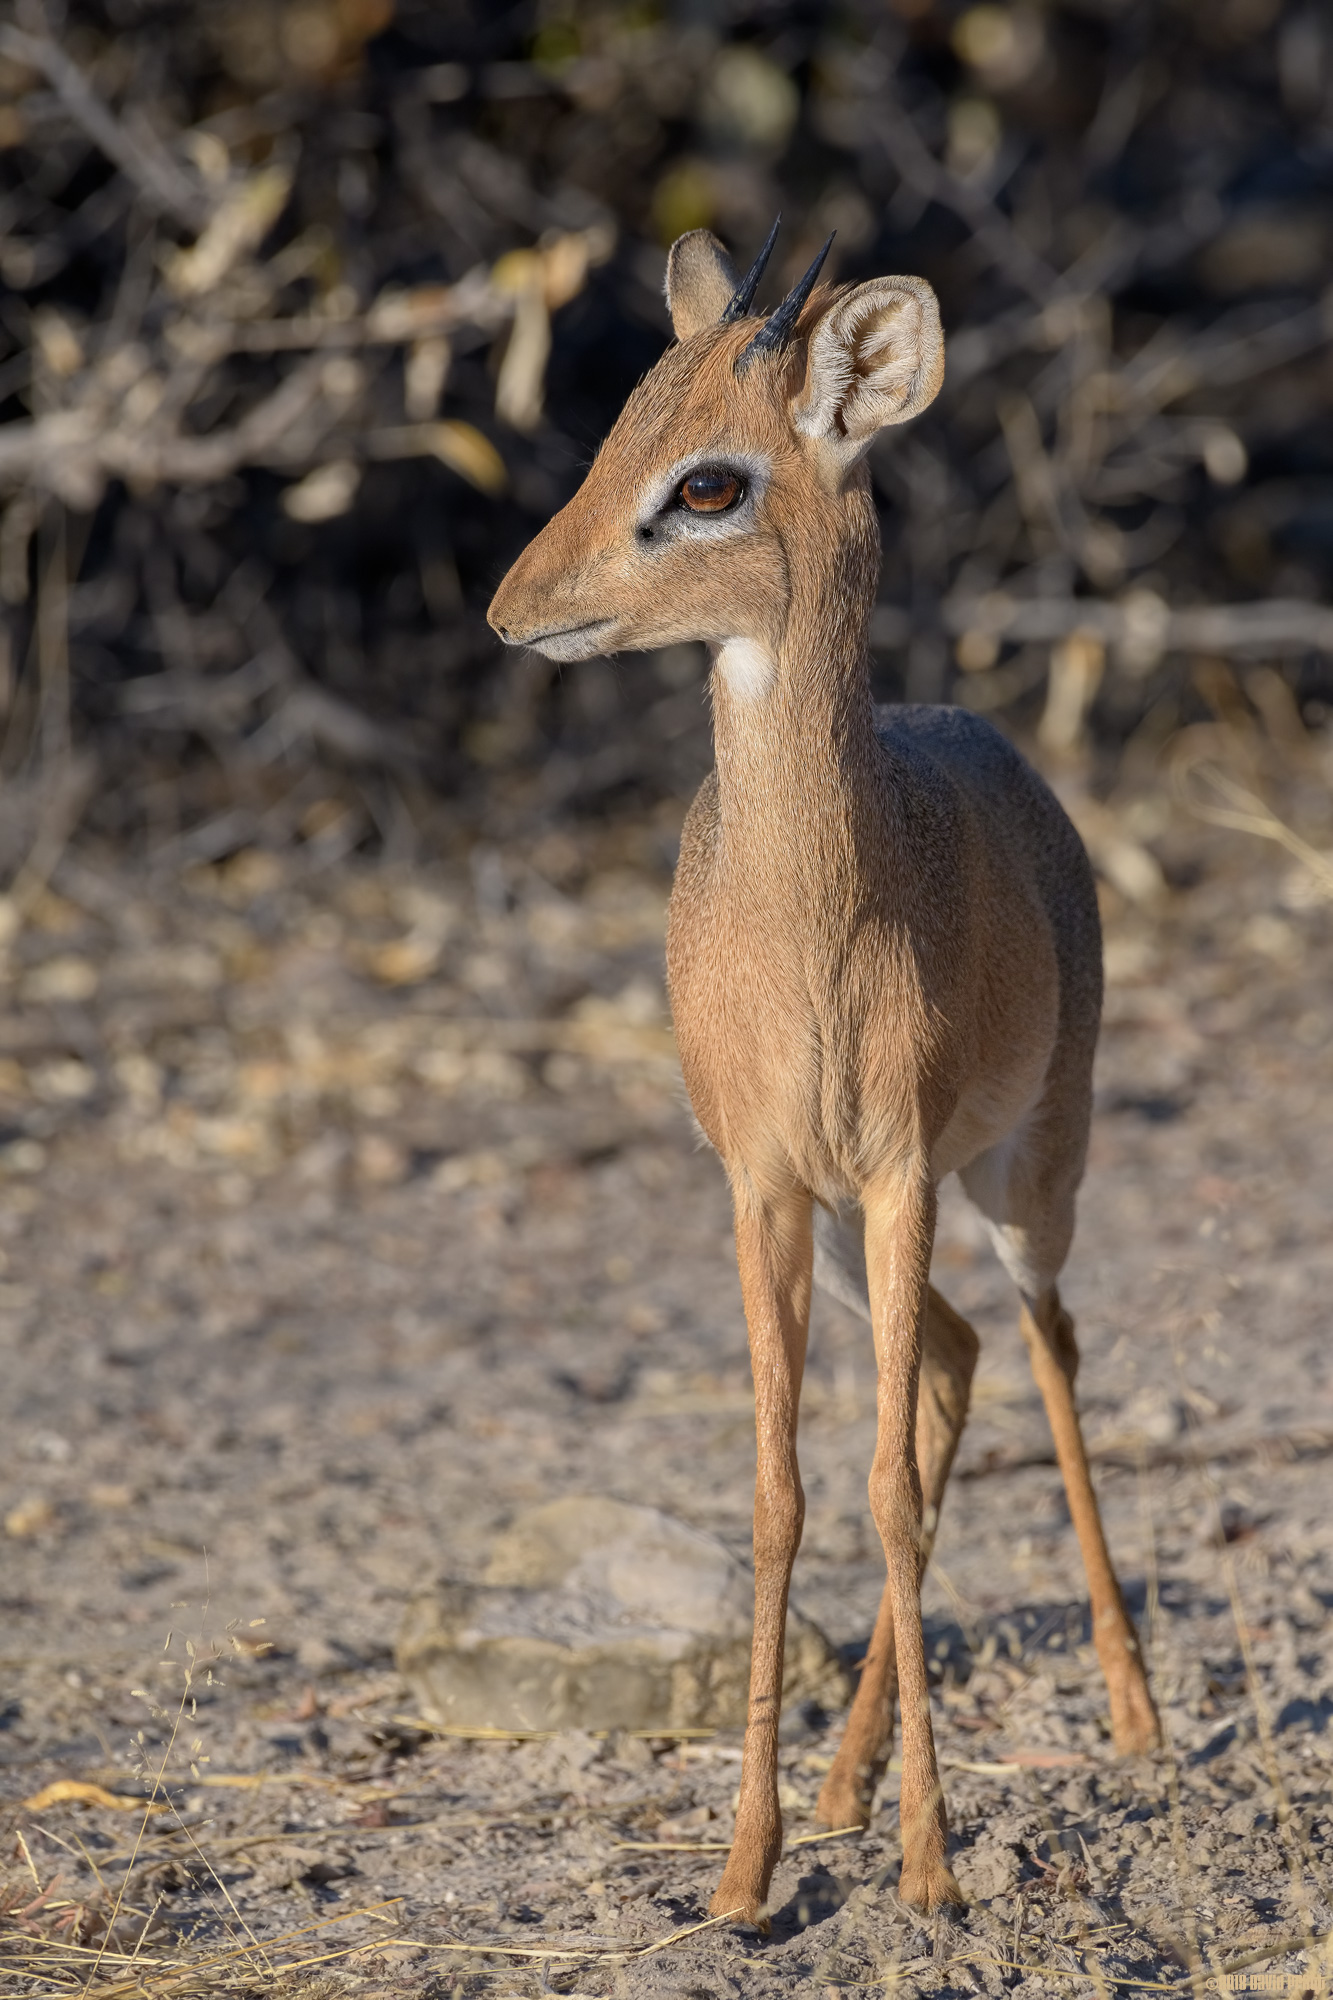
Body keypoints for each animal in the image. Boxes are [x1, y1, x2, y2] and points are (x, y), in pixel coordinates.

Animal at [488, 222, 1160, 1926]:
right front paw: (747, 1868)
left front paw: (930, 1866)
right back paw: (850, 1779)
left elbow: (883, 1499)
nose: (516, 611)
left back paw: (1131, 1711)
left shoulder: (906, 1173)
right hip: (870, 1240)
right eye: (619, 426)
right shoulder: (766, 1191)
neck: (811, 931)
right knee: (955, 1366)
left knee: (1047, 1347)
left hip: (1022, 1177)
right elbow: (789, 1492)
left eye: (710, 482)